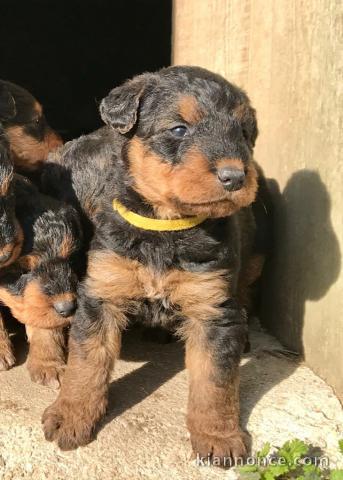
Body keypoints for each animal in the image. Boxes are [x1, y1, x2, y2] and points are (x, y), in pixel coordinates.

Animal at [42, 65, 264, 464]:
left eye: (242, 132)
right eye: (178, 129)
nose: (236, 177)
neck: (165, 228)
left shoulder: (213, 308)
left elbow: (215, 381)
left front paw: (218, 436)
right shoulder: (101, 294)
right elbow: (86, 363)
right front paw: (71, 414)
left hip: (253, 261)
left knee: (246, 294)